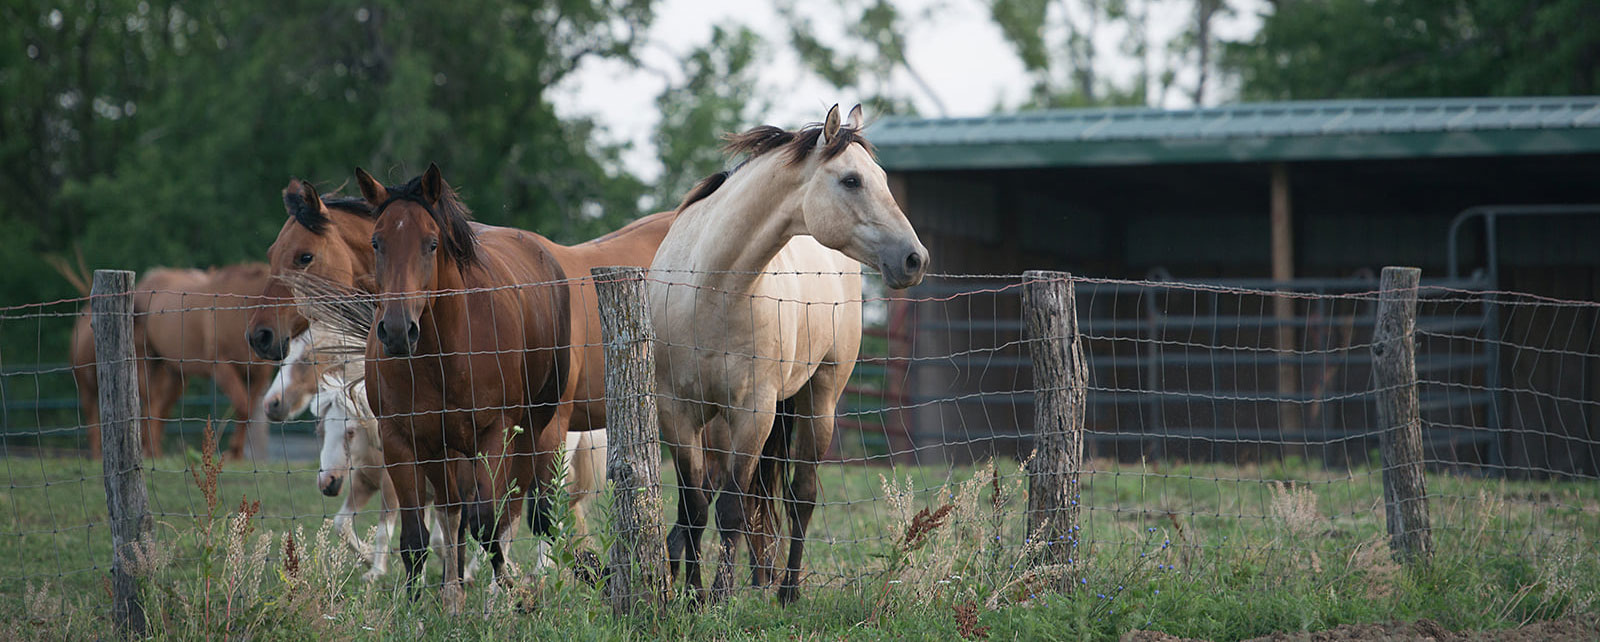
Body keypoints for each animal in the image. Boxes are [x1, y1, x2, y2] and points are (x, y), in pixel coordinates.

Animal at [356, 162, 569, 608]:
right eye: (376, 242)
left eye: (432, 243)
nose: (397, 331)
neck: (441, 354)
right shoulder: (402, 440)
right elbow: (415, 538)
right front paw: (417, 608)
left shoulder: (494, 432)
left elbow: (488, 523)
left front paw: (511, 592)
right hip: (445, 448)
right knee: (452, 510)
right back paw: (453, 595)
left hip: (532, 429)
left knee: (510, 509)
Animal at [646, 104, 928, 601]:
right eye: (852, 180)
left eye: (881, 177)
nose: (915, 259)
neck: (709, 290)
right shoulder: (677, 412)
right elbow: (694, 507)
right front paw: (694, 597)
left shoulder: (752, 411)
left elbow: (732, 510)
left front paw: (719, 596)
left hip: (821, 399)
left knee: (802, 495)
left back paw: (788, 591)